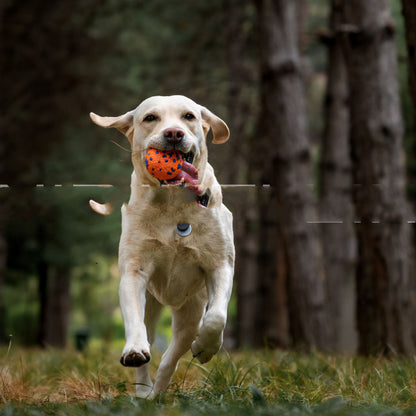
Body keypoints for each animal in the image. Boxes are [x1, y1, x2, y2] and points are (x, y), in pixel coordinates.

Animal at [89, 96, 236, 398]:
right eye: (150, 118)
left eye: (189, 116)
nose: (174, 133)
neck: (172, 203)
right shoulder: (133, 272)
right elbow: (134, 320)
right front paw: (134, 350)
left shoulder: (220, 265)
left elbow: (217, 316)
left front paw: (207, 348)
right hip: (153, 303)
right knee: (150, 337)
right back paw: (146, 391)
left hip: (189, 311)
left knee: (174, 352)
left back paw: (164, 383)